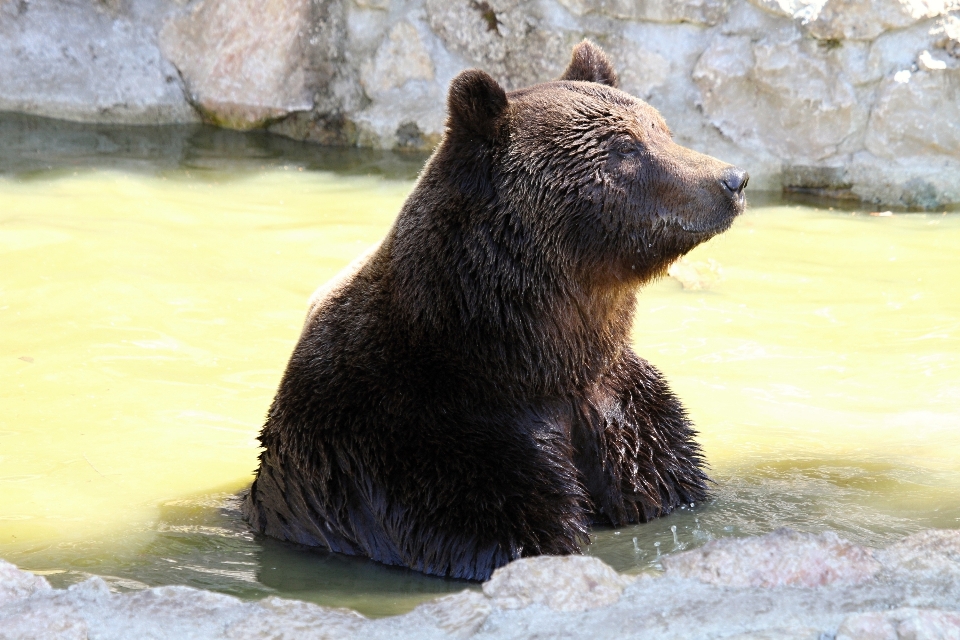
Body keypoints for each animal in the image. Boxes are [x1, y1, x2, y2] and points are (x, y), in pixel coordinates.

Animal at [242, 38, 752, 580]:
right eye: (626, 146)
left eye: (661, 128)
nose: (732, 179)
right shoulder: (421, 444)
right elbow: (508, 523)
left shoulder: (628, 416)